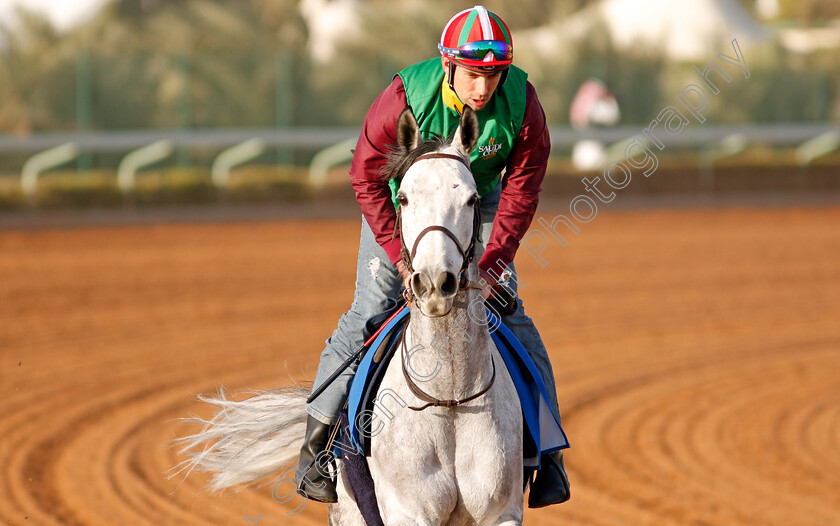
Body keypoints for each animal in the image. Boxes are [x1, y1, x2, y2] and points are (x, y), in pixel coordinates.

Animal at [174, 105, 520, 524]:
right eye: (403, 198)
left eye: (471, 199)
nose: (435, 282)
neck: (448, 399)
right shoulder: (408, 513)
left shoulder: (502, 512)